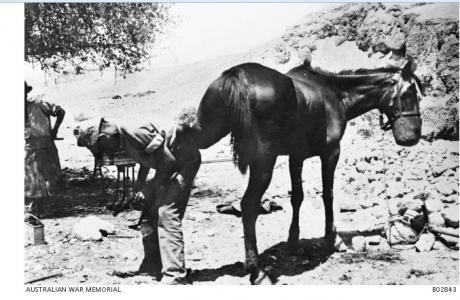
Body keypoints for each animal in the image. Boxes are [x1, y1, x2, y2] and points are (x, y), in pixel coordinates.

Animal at [172, 56, 424, 284]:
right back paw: (255, 270)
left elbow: (297, 197)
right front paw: (332, 238)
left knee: (183, 145)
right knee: (248, 205)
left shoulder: (297, 157)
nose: (414, 135)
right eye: (409, 93)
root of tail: (237, 75)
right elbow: (327, 193)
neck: (336, 94)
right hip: (263, 161)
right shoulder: (331, 152)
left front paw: (293, 241)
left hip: (205, 133)